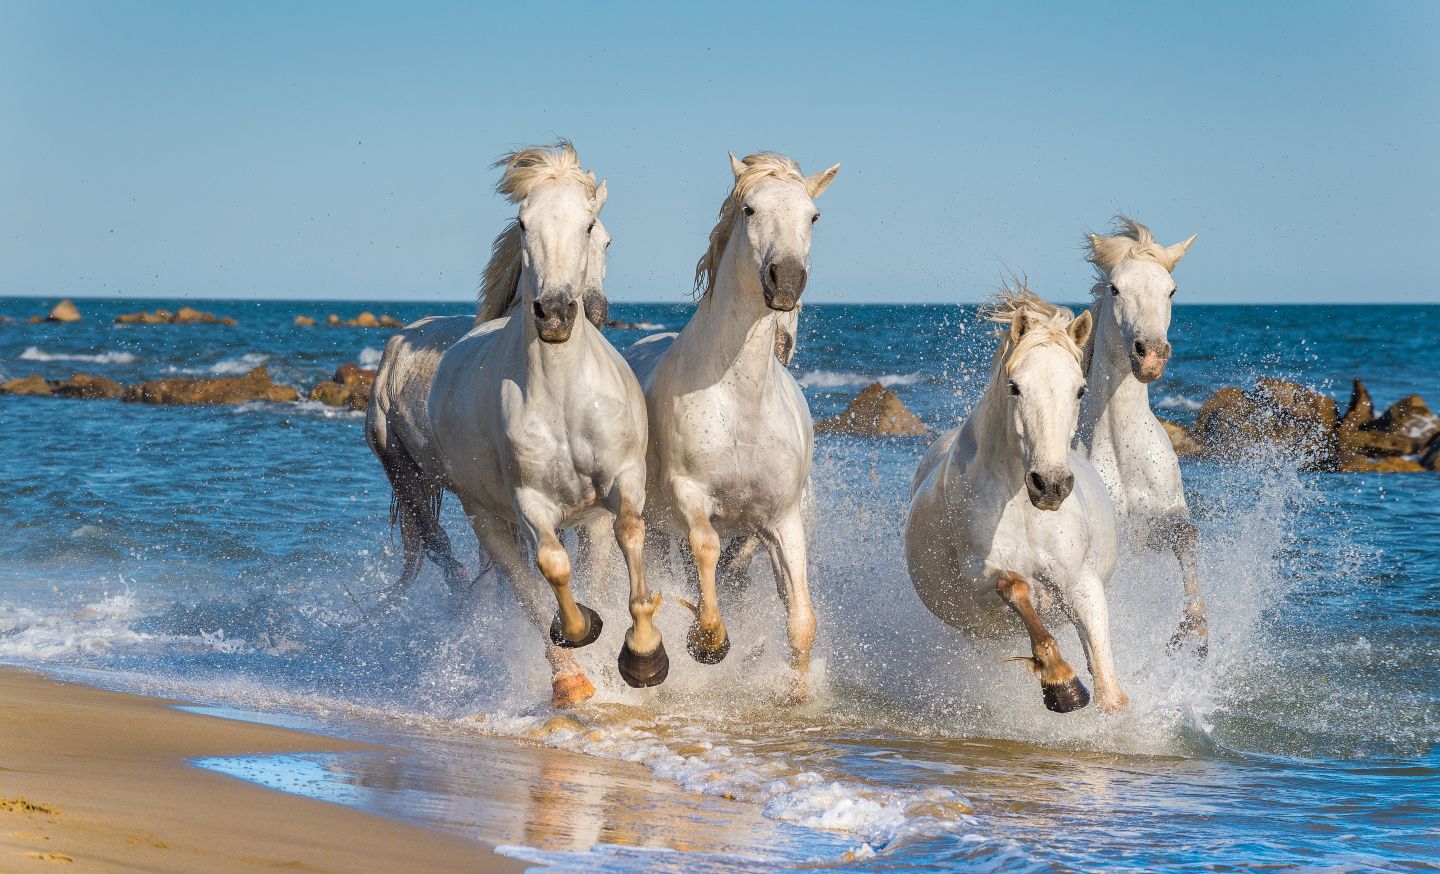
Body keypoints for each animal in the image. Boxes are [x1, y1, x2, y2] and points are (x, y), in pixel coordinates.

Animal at [425, 142, 659, 708]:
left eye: (593, 226)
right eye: (523, 222)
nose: (555, 313)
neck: (562, 393)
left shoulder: (623, 481)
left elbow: (631, 534)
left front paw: (644, 655)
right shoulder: (529, 502)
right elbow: (553, 568)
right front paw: (581, 633)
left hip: (586, 522)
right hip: (487, 520)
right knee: (526, 588)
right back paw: (569, 679)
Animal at [616, 151, 839, 695]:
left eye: (814, 216)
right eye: (750, 210)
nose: (786, 281)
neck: (742, 402)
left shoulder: (781, 519)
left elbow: (801, 620)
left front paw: (798, 695)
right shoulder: (690, 494)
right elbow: (705, 548)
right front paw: (707, 640)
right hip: (658, 528)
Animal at [906, 284, 1129, 714]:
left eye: (1080, 389)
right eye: (1015, 387)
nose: (1051, 486)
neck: (1023, 508)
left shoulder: (1081, 583)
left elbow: (1109, 688)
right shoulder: (979, 574)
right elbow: (1016, 586)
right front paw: (1062, 683)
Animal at [1074, 217, 1205, 653]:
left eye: (1171, 290)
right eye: (1114, 288)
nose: (1150, 354)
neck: (1122, 448)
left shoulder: (1158, 523)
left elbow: (1187, 536)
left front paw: (1194, 630)